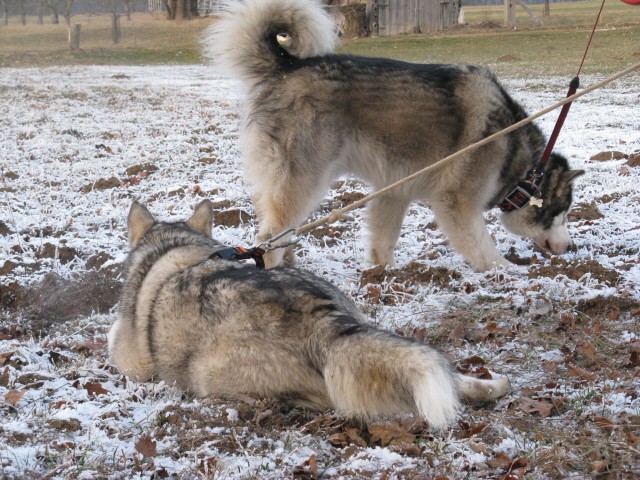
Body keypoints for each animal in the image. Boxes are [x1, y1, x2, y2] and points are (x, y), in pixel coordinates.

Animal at [109, 201, 510, 430]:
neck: (176, 248)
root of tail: (324, 320)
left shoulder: (133, 364)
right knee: (448, 375)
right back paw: (489, 387)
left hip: (212, 376)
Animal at [206, 0, 584, 270]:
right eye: (561, 212)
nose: (570, 248)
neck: (520, 161)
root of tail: (288, 66)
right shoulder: (456, 202)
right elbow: (481, 243)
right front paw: (504, 270)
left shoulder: (394, 190)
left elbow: (383, 240)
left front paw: (384, 273)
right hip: (304, 179)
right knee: (268, 236)